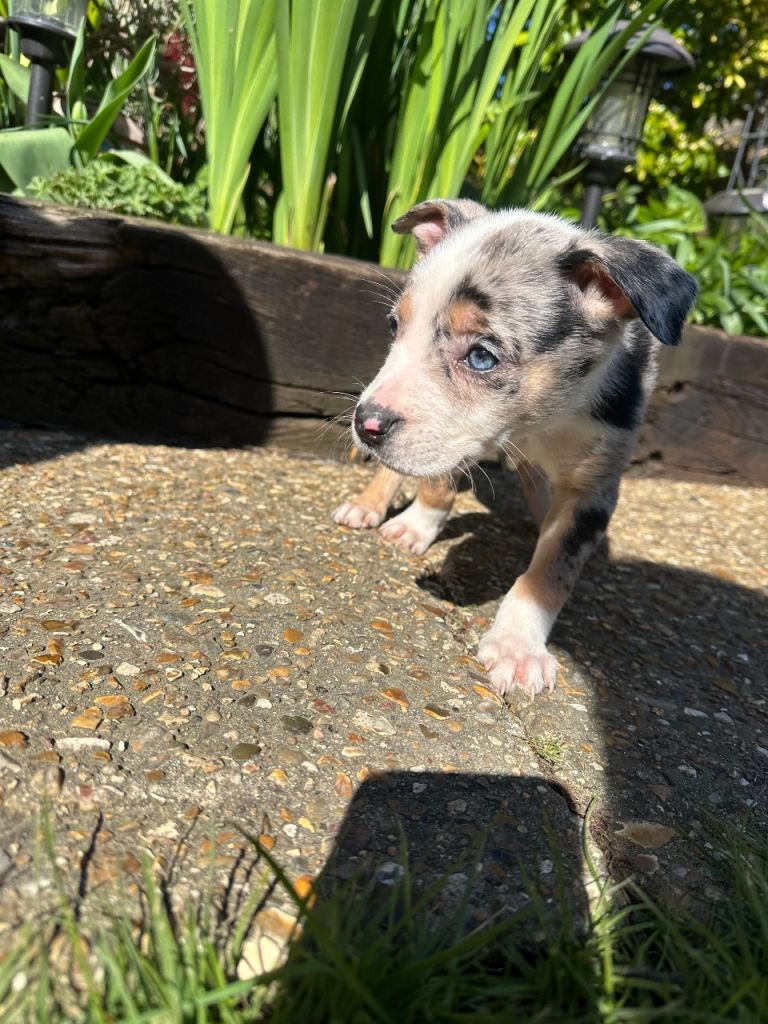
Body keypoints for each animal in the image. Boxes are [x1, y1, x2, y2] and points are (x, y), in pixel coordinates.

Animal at [334, 199, 698, 698]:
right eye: (394, 325)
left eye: (482, 356)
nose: (365, 424)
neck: (538, 420)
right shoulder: (454, 437)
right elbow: (436, 484)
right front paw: (416, 526)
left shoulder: (594, 486)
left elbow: (549, 572)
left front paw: (517, 647)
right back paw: (369, 505)